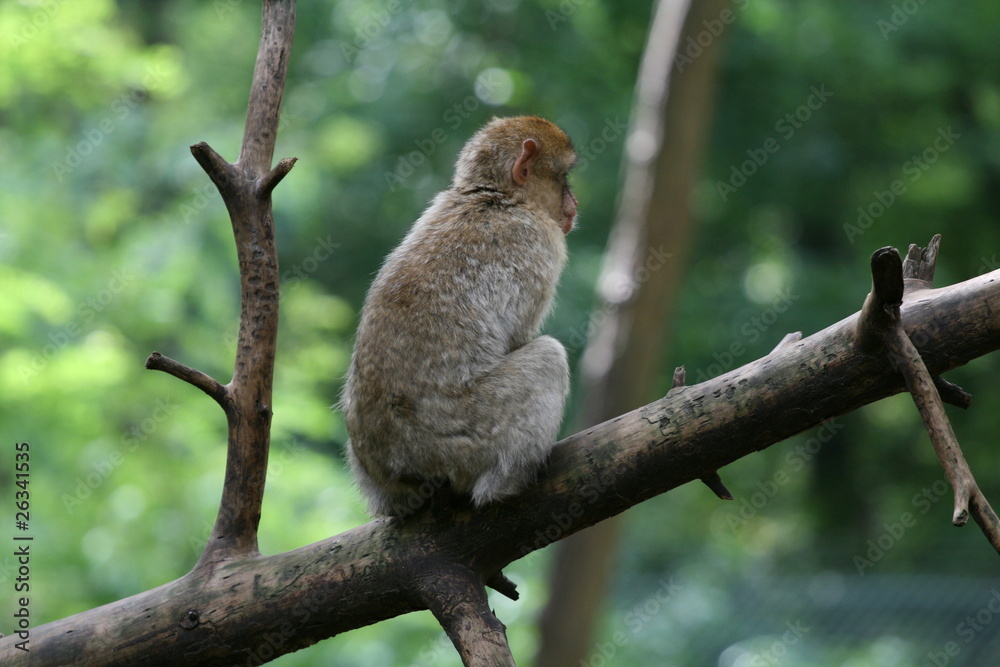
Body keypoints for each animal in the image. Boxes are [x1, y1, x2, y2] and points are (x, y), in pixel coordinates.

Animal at [341, 115, 578, 518]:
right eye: (563, 177)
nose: (573, 203)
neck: (497, 198)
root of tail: (395, 466)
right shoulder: (539, 240)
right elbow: (519, 338)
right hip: (464, 439)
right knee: (549, 356)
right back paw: (507, 484)